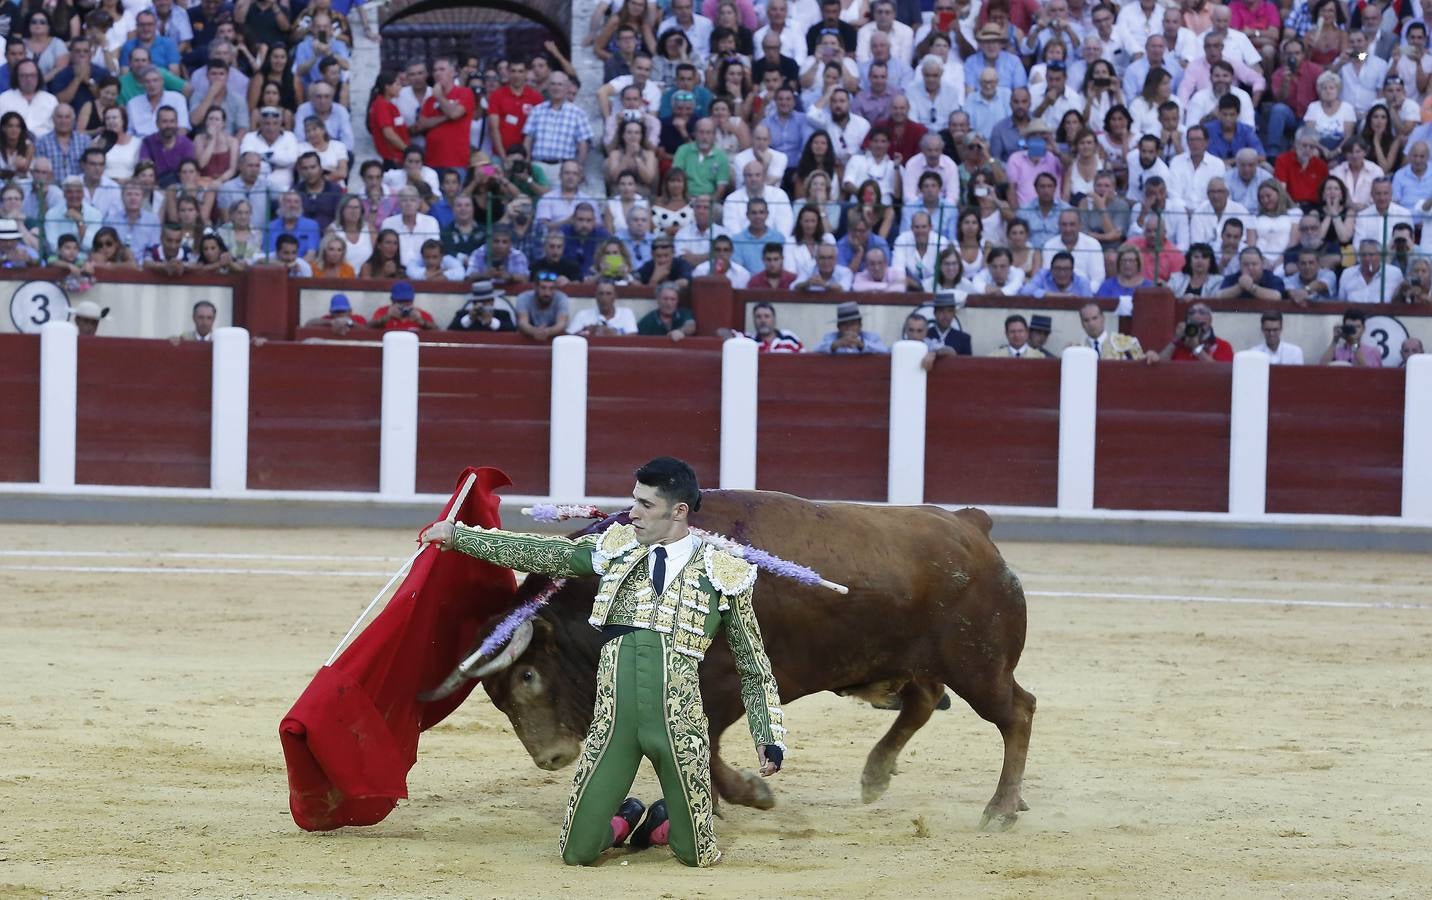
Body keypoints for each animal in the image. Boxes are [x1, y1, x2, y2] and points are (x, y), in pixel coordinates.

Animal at [441, 492, 1036, 831]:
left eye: (528, 675)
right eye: (496, 697)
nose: (550, 758)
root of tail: (972, 526)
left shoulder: (722, 685)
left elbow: (708, 749)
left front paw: (754, 795)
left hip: (978, 665)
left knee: (1017, 713)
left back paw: (1001, 810)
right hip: (907, 661)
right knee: (924, 702)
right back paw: (875, 777)